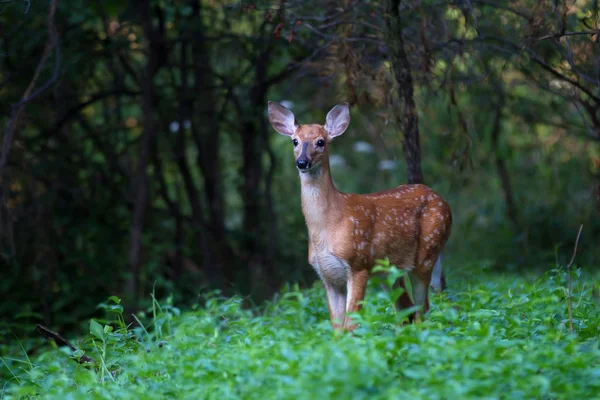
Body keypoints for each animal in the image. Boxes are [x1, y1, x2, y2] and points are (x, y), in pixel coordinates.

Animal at [270, 101, 452, 330]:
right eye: (295, 141)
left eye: (320, 142)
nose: (302, 162)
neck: (327, 226)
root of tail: (443, 201)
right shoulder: (328, 275)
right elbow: (337, 328)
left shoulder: (358, 264)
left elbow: (351, 325)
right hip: (389, 272)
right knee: (407, 311)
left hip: (426, 254)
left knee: (422, 309)